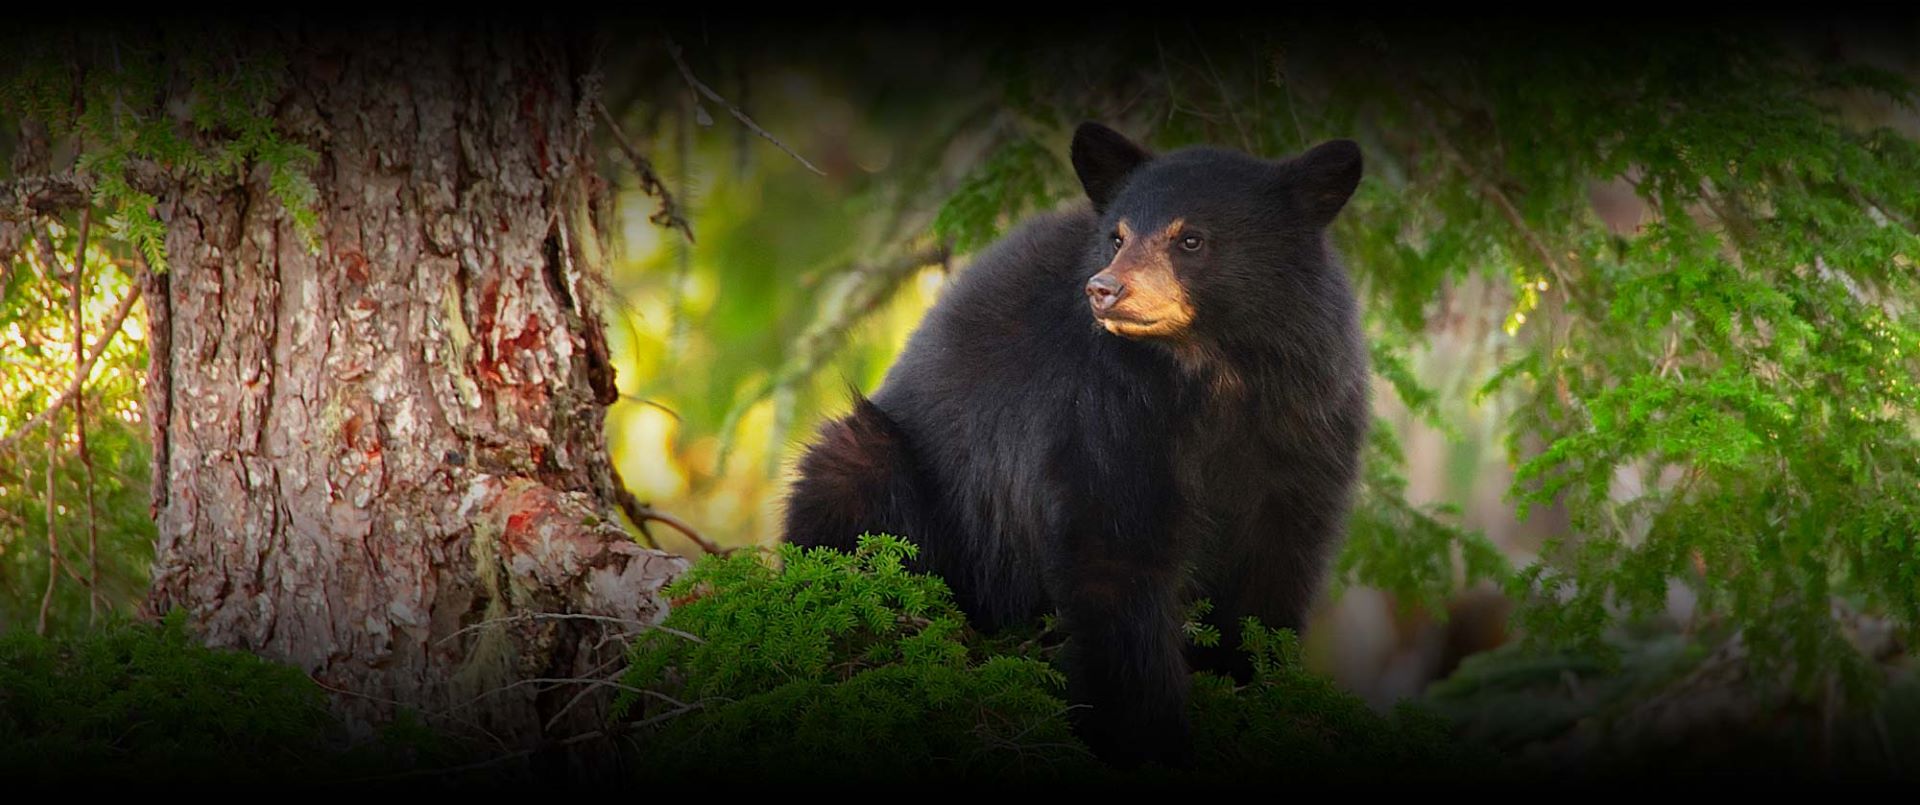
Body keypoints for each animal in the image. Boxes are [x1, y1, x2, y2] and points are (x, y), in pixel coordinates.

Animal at [775, 121, 1367, 768]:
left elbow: (1275, 573)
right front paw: (1149, 738)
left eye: (1191, 239)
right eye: (1117, 236)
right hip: (888, 483)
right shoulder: (1100, 415)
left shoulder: (1306, 429)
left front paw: (1254, 693)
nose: (1104, 289)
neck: (1212, 378)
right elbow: (1113, 559)